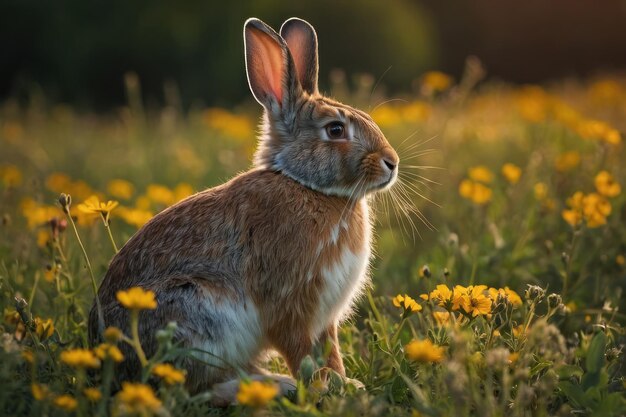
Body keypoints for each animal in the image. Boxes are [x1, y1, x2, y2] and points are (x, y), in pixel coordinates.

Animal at [88, 17, 398, 404]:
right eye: (336, 129)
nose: (392, 163)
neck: (306, 185)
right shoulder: (291, 302)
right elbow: (300, 350)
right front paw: (321, 390)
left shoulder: (325, 318)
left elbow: (331, 352)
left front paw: (345, 385)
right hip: (195, 311)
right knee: (189, 389)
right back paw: (270, 386)